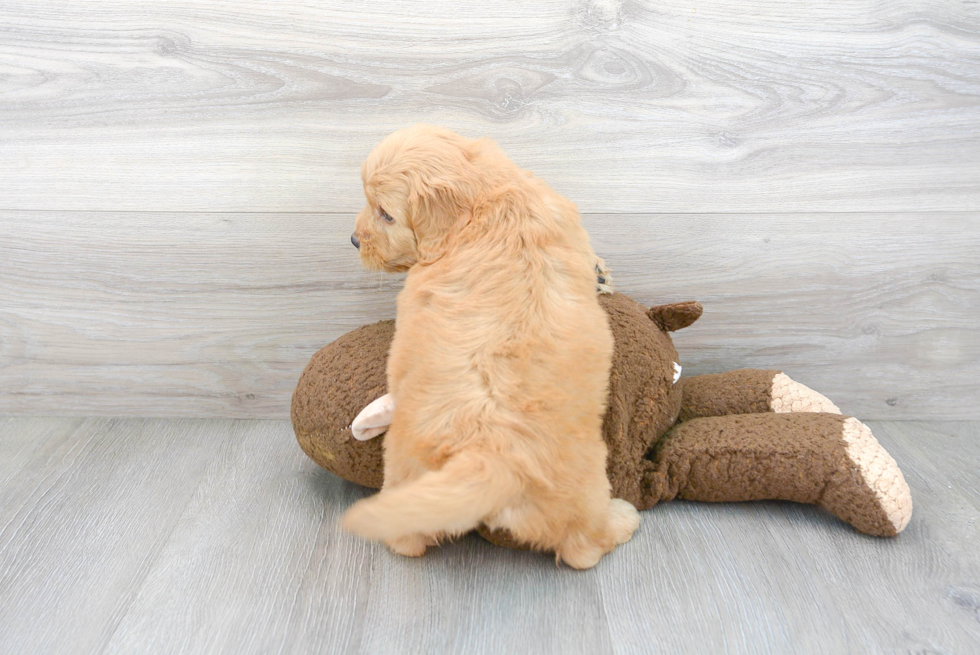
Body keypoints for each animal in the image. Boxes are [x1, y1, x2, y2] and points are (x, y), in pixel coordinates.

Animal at [340, 123, 640, 568]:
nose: (355, 241)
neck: (486, 199)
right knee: (582, 549)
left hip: (407, 469)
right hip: (584, 484)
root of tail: (491, 456)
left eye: (385, 213)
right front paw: (599, 274)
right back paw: (623, 518)